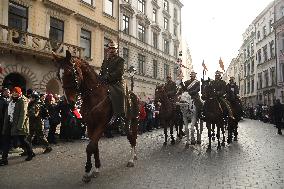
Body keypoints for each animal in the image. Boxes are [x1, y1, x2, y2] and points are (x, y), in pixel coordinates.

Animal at [52, 51, 139, 182]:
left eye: (70, 73)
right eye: (58, 75)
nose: (68, 102)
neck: (93, 96)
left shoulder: (101, 124)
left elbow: (90, 147)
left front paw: (88, 170)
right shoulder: (90, 125)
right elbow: (94, 147)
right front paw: (95, 168)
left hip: (130, 122)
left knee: (132, 138)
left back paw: (131, 159)